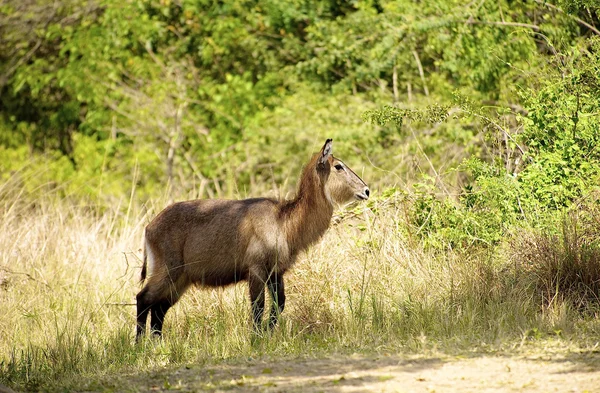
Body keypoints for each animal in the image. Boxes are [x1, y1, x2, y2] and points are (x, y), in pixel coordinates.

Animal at [137, 138, 370, 336]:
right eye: (338, 166)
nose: (366, 190)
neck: (284, 220)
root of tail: (149, 227)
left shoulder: (276, 271)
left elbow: (280, 303)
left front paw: (267, 331)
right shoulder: (256, 269)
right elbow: (258, 307)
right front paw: (257, 338)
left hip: (181, 278)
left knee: (159, 308)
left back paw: (157, 344)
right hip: (168, 270)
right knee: (143, 298)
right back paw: (139, 346)